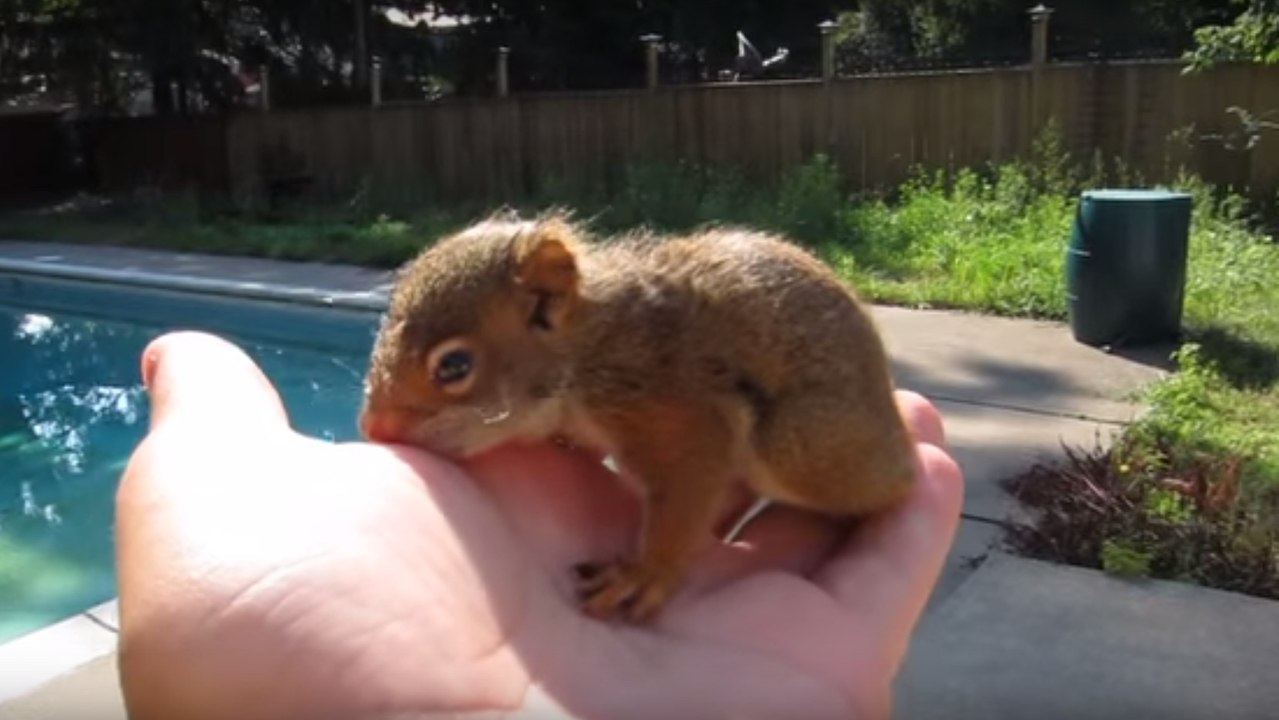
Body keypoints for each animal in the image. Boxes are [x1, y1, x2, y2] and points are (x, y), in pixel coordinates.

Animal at [358, 209, 916, 623]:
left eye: (454, 365)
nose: (373, 429)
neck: (585, 351)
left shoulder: (672, 407)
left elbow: (687, 488)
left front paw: (645, 574)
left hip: (801, 448)